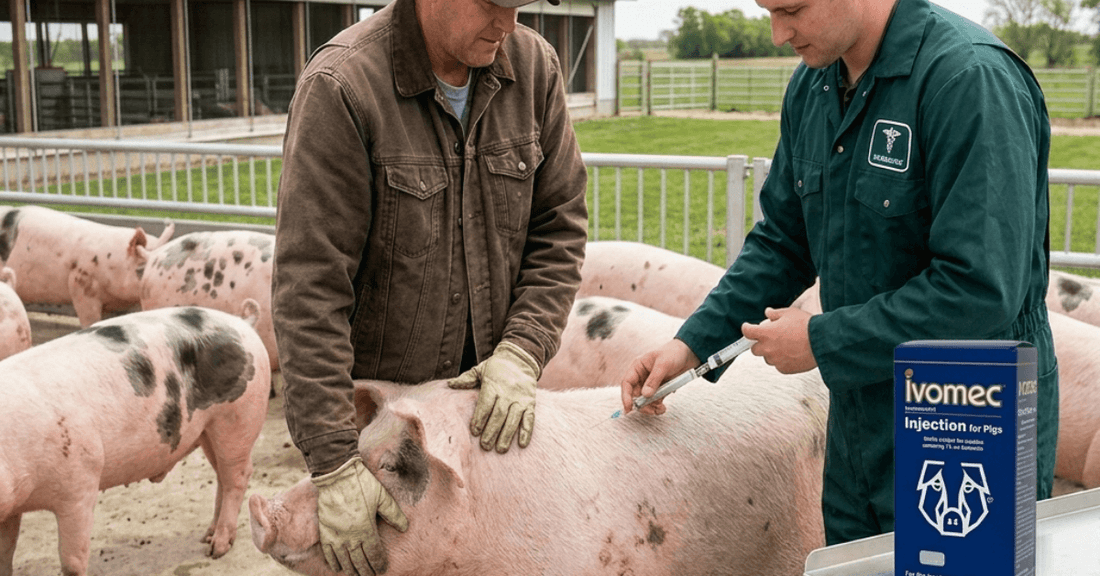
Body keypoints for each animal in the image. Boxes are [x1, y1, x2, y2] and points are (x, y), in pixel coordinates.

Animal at [0, 303, 271, 576]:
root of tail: (243, 322)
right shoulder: (11, 511)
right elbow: (6, 552)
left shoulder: (80, 484)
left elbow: (72, 561)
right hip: (208, 431)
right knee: (221, 477)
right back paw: (207, 536)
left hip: (236, 418)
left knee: (238, 476)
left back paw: (217, 549)